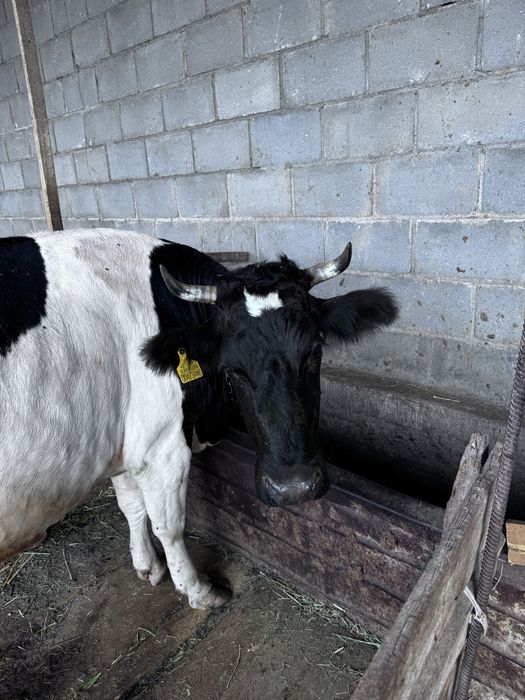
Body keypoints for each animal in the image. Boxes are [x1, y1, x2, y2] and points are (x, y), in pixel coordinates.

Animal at [0, 229, 397, 609]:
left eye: (315, 350)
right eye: (231, 368)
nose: (293, 488)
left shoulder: (124, 440)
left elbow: (130, 504)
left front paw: (148, 565)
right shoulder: (162, 446)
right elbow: (169, 525)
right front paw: (198, 590)